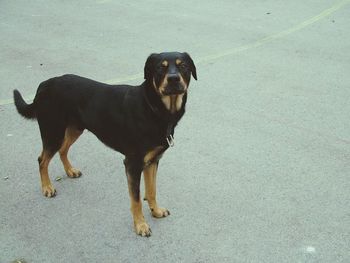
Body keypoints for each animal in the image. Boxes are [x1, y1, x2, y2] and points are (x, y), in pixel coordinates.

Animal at [13, 51, 197, 237]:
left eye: (183, 66)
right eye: (160, 67)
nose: (173, 79)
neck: (152, 107)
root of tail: (44, 85)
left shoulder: (152, 160)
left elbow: (151, 190)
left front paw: (156, 211)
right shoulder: (133, 163)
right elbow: (136, 199)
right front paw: (140, 225)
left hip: (74, 128)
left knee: (63, 150)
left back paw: (70, 171)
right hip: (53, 131)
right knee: (42, 159)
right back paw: (47, 187)